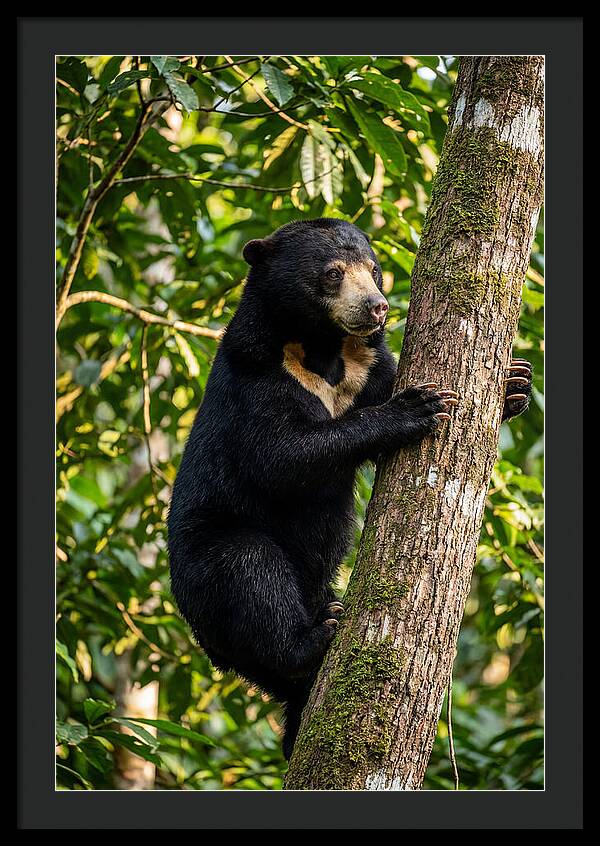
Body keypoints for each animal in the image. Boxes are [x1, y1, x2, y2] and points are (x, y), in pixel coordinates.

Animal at [167, 218, 532, 760]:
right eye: (333, 273)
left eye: (375, 270)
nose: (377, 306)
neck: (322, 349)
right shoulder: (256, 376)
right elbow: (281, 456)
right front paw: (417, 407)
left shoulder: (367, 366)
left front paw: (514, 383)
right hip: (206, 559)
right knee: (248, 570)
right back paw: (317, 635)